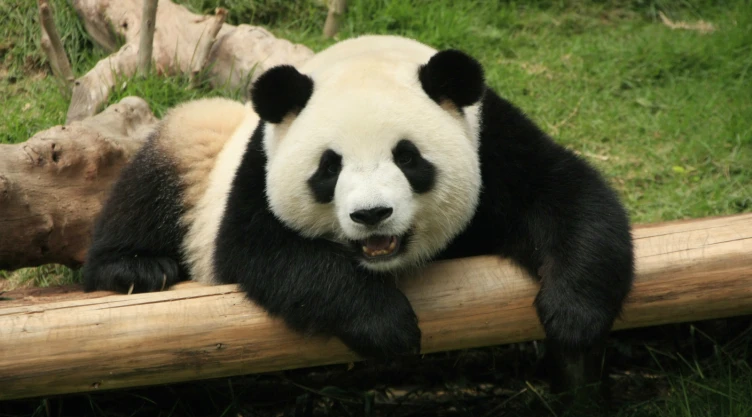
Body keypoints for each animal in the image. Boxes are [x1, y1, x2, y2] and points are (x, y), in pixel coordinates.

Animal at [83, 35, 634, 392]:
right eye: (329, 167)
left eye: (407, 157)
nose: (373, 215)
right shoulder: (257, 169)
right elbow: (266, 252)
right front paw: (388, 325)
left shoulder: (492, 142)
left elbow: (565, 195)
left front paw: (573, 318)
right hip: (201, 149)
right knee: (157, 177)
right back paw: (136, 267)